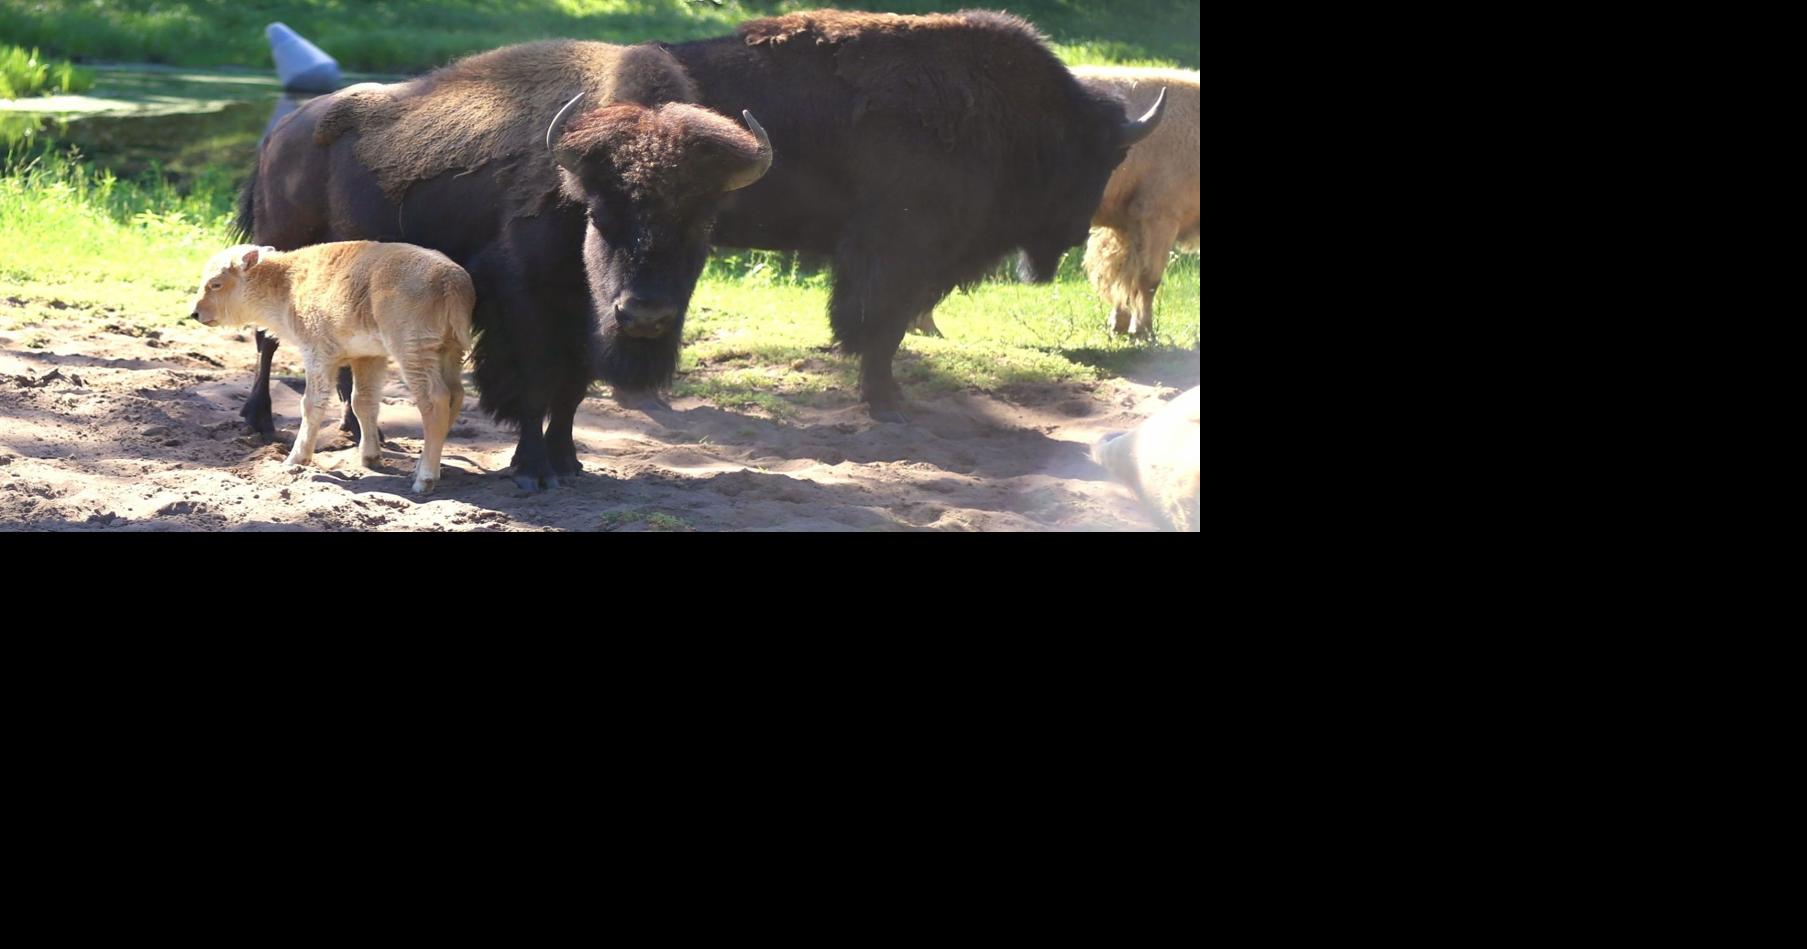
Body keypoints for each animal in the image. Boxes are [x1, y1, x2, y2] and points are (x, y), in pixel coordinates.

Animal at [191, 241, 473, 494]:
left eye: (215, 283)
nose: (195, 313)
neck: (286, 284)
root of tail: (452, 279)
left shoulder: (318, 354)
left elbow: (311, 404)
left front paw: (294, 460)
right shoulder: (368, 357)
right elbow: (362, 402)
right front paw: (370, 457)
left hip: (413, 352)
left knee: (434, 401)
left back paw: (424, 479)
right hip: (448, 351)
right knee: (455, 395)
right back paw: (419, 468)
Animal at [235, 40, 773, 489]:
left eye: (703, 224)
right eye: (599, 215)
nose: (644, 316)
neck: (573, 191)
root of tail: (280, 132)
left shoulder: (582, 319)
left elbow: (572, 390)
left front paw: (568, 462)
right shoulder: (522, 306)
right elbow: (534, 383)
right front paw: (532, 470)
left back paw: (362, 431)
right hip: (279, 250)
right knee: (266, 340)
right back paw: (259, 422)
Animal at [657, 9, 1167, 421]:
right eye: (1107, 156)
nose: (1076, 232)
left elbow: (893, 328)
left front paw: (891, 398)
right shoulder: (894, 256)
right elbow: (880, 326)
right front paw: (886, 404)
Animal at [1072, 66, 1199, 338]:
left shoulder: (1128, 226)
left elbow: (1123, 275)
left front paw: (1119, 326)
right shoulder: (1160, 219)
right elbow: (1148, 278)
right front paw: (1144, 331)